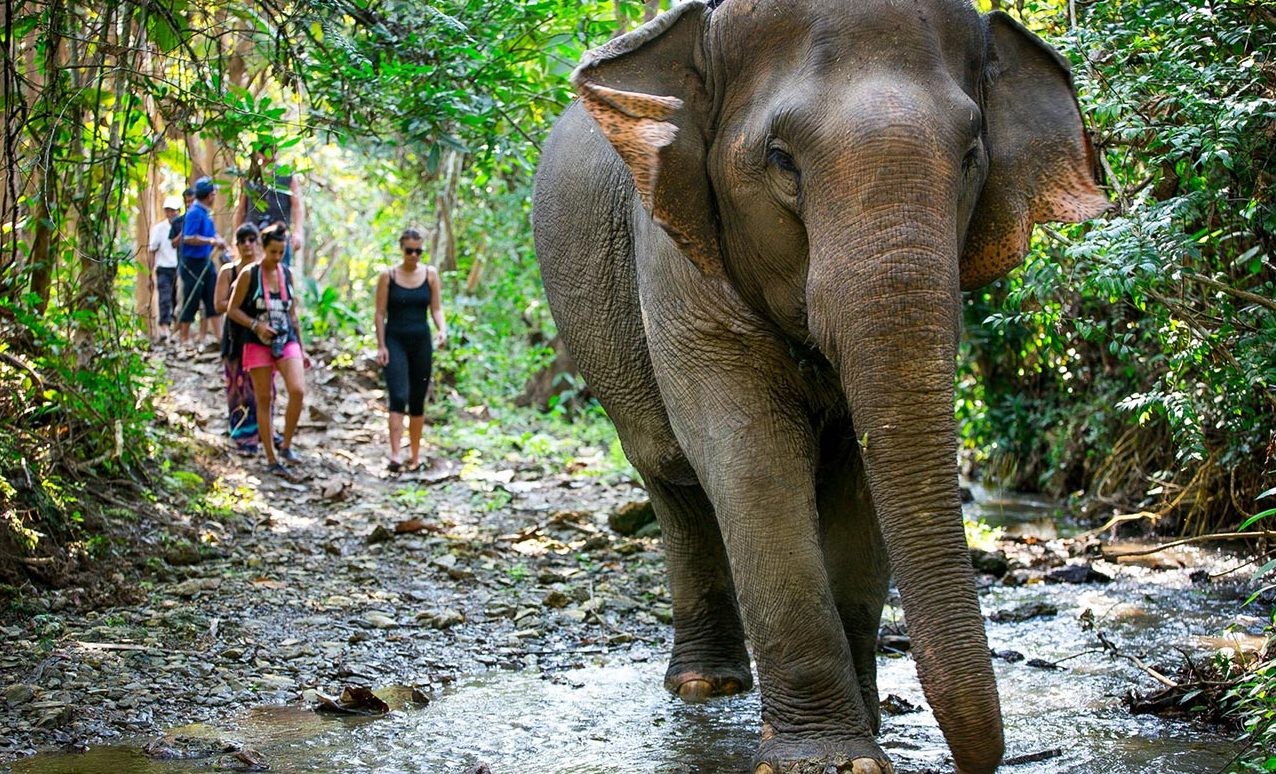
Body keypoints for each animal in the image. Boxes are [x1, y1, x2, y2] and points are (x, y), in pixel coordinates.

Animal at [532, 1, 1108, 771]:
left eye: (970, 156)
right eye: (780, 159)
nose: (985, 757)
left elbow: (862, 480)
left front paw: (868, 728)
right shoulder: (677, 251)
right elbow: (751, 458)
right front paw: (831, 757)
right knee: (671, 475)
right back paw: (706, 685)